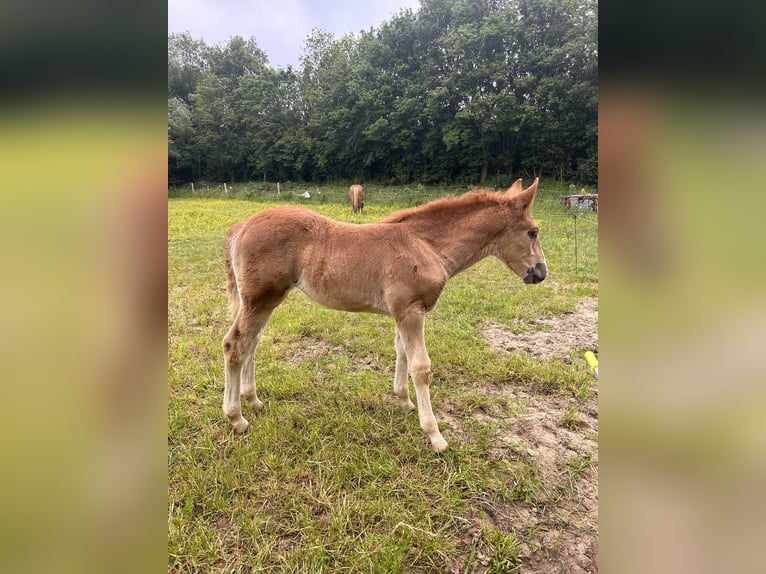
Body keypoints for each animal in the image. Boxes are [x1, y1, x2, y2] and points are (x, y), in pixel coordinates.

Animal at [222, 178, 544, 452]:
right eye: (532, 231)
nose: (540, 273)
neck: (426, 245)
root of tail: (242, 226)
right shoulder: (411, 310)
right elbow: (421, 367)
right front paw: (435, 435)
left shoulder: (404, 312)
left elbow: (401, 352)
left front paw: (404, 402)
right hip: (259, 300)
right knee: (234, 345)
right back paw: (237, 418)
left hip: (265, 301)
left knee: (252, 343)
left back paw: (254, 401)